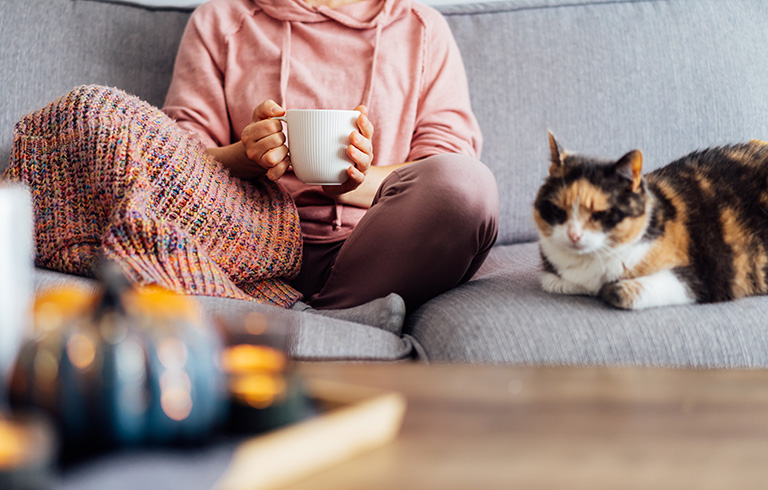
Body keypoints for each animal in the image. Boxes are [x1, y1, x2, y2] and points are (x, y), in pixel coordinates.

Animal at [536, 133, 768, 310]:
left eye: (600, 214)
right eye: (557, 210)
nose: (573, 235)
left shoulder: (706, 275)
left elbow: (622, 292)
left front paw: (611, 289)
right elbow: (552, 281)